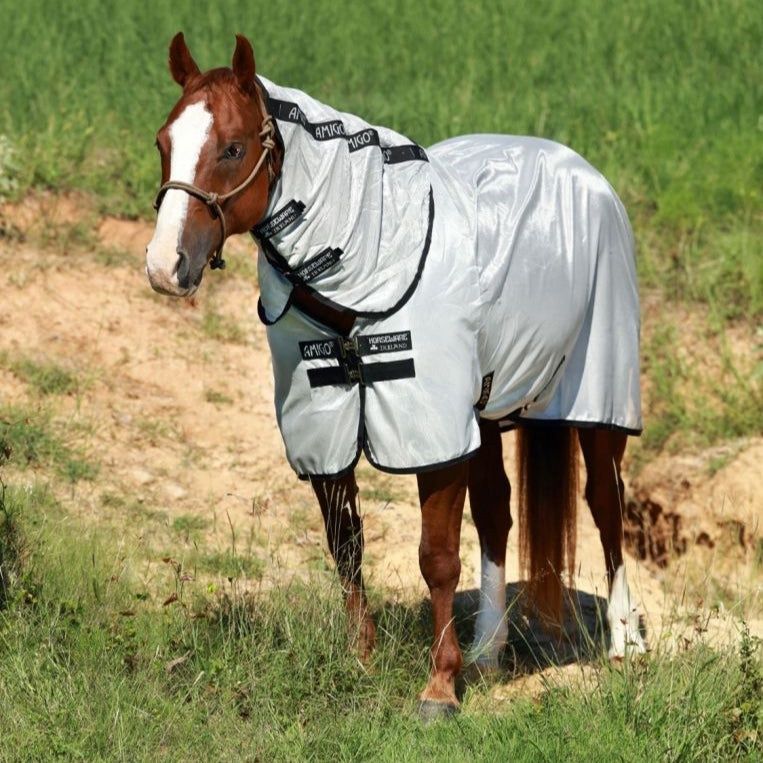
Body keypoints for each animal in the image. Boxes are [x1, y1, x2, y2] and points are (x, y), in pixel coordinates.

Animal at [146, 32, 646, 719]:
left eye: (232, 148)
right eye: (164, 142)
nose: (165, 266)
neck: (368, 260)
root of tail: (585, 172)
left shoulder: (431, 432)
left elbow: (436, 558)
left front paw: (439, 688)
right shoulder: (324, 426)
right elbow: (347, 546)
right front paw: (363, 658)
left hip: (599, 401)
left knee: (605, 506)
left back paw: (625, 644)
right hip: (486, 413)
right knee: (498, 514)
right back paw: (488, 651)